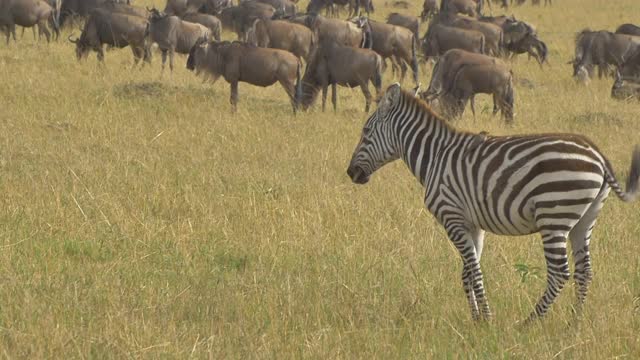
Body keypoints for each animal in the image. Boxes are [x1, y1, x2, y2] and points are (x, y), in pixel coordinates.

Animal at [348, 84, 640, 324]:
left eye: (365, 131)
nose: (350, 173)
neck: (435, 157)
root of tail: (597, 153)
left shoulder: (451, 217)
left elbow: (475, 271)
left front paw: (487, 319)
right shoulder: (472, 224)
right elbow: (467, 271)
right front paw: (476, 319)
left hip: (554, 216)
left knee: (560, 273)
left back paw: (529, 323)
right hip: (585, 218)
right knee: (584, 271)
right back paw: (574, 323)